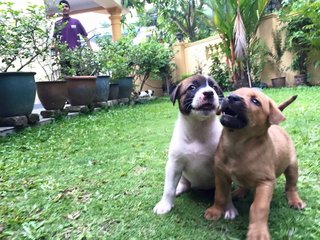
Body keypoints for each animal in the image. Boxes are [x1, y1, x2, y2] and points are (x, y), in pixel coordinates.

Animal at [154, 73, 239, 218]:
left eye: (214, 87)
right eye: (192, 87)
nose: (209, 93)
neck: (198, 127)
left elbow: (225, 192)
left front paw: (229, 208)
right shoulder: (174, 164)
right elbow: (169, 187)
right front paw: (165, 204)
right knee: (184, 182)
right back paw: (179, 188)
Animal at [204, 88, 306, 240]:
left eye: (255, 101)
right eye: (234, 92)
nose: (231, 97)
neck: (237, 144)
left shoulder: (266, 182)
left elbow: (259, 207)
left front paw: (258, 233)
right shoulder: (221, 174)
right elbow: (220, 195)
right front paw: (215, 211)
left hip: (292, 166)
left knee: (291, 186)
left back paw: (295, 200)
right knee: (244, 185)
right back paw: (239, 192)